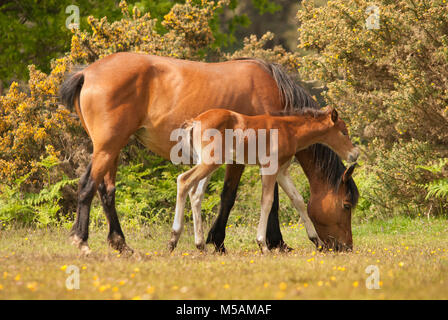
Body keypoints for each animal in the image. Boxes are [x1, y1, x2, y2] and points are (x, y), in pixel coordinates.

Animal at [59, 52, 358, 254]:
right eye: (346, 205)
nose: (346, 247)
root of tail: (87, 73)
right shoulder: (246, 161)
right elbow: (238, 197)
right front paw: (231, 241)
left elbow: (290, 199)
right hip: (108, 147)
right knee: (88, 186)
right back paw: (82, 240)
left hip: (111, 149)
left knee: (106, 190)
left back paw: (120, 244)